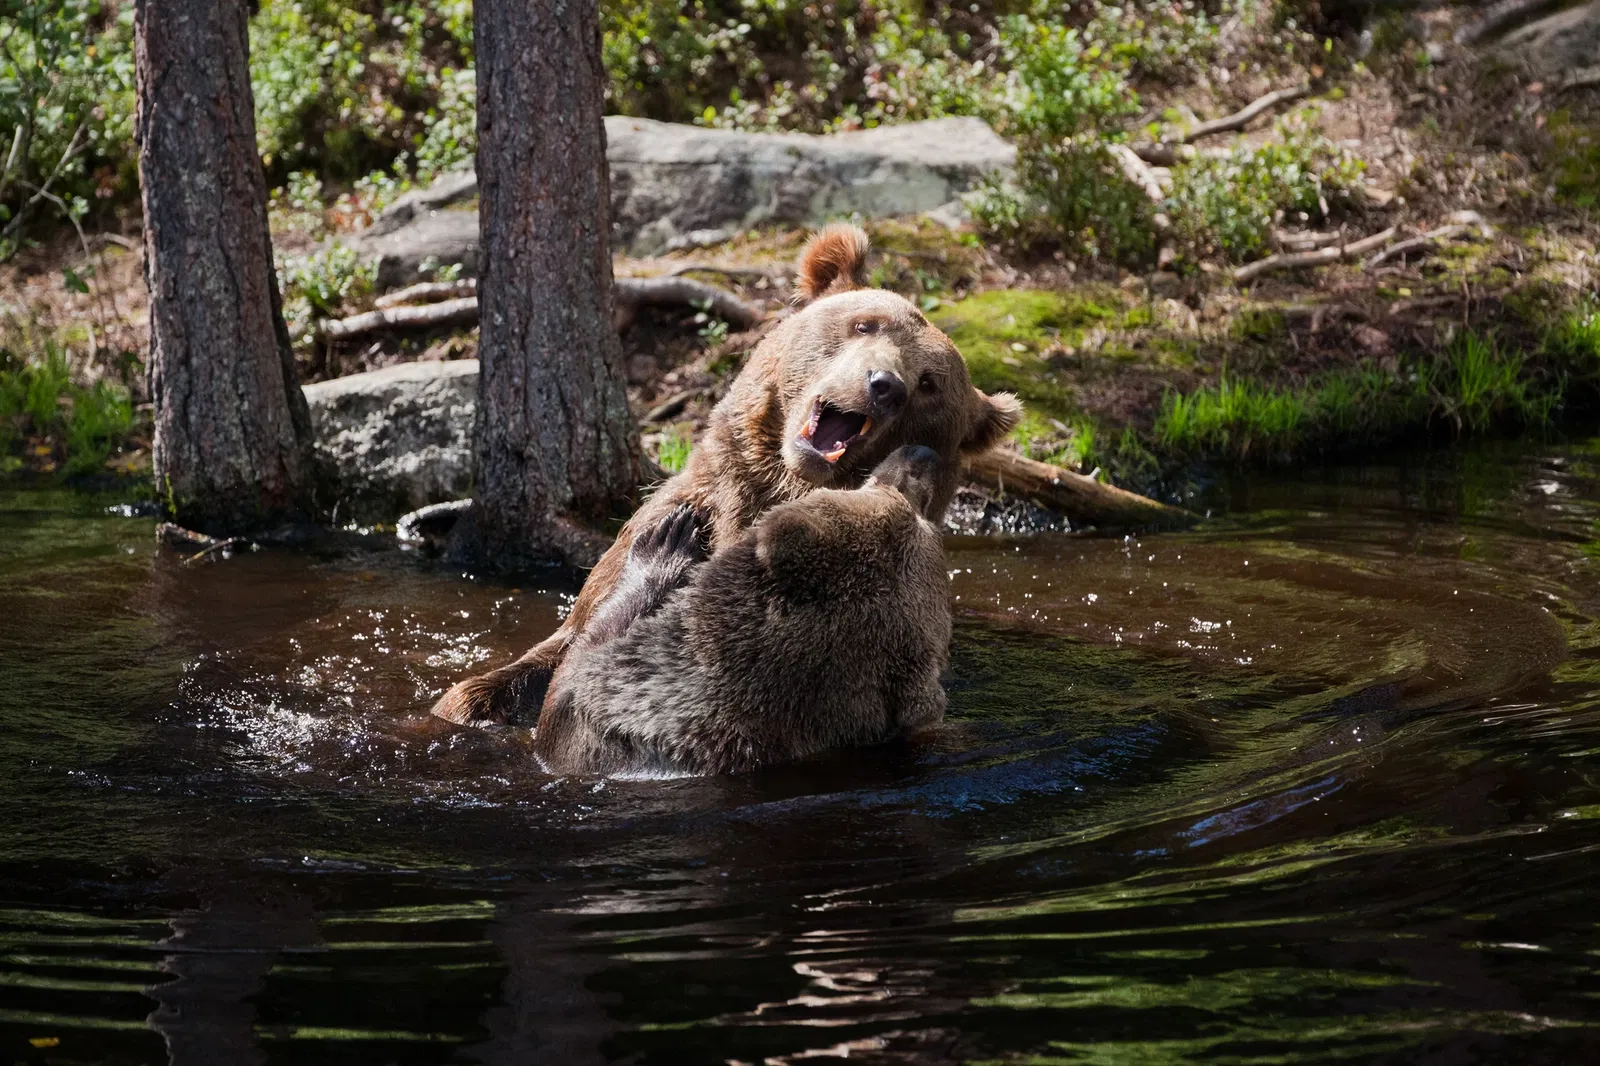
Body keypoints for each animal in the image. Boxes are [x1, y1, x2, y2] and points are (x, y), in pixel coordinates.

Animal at [431, 223, 1021, 727]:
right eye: (865, 324)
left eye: (930, 383)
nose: (885, 384)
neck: (777, 481)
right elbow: (551, 651)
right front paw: (474, 702)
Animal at [535, 445, 952, 777]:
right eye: (892, 490)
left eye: (904, 500)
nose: (922, 452)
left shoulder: (586, 718)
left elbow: (572, 671)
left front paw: (666, 543)